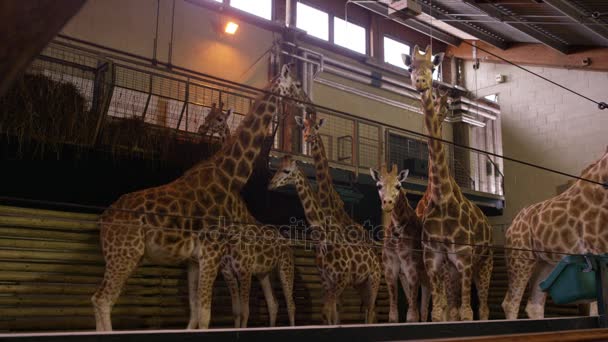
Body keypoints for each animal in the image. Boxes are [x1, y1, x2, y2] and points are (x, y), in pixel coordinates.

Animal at [93, 65, 312, 332]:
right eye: (298, 85)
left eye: (218, 118)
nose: (308, 102)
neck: (229, 177)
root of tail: (104, 219)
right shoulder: (212, 252)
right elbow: (207, 314)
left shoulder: (196, 260)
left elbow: (196, 311)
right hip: (125, 254)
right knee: (102, 299)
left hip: (126, 256)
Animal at [270, 155, 380, 324]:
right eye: (278, 167)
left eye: (286, 170)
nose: (270, 184)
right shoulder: (326, 281)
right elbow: (327, 313)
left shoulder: (341, 279)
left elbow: (329, 311)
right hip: (361, 284)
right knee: (370, 309)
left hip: (374, 280)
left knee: (371, 309)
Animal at [368, 164, 430, 322]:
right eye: (379, 185)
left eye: (398, 186)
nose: (387, 204)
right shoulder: (391, 269)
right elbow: (395, 313)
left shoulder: (412, 268)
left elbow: (412, 315)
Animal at [404, 46, 494, 324]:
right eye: (411, 67)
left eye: (432, 68)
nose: (421, 82)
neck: (441, 197)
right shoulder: (435, 259)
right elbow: (439, 313)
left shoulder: (463, 257)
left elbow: (465, 313)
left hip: (484, 263)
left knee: (483, 308)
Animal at [504, 148, 608, 320]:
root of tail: (510, 226)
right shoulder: (598, 250)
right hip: (520, 258)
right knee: (510, 302)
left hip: (545, 263)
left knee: (534, 304)